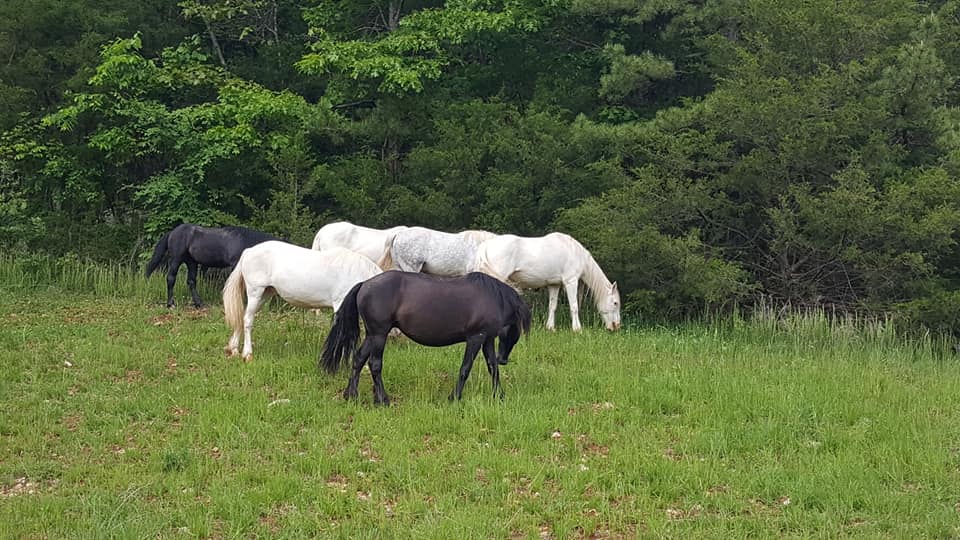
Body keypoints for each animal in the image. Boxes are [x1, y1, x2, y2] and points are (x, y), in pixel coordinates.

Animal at [145, 223, 282, 308]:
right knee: (171, 278)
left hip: (191, 262)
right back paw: (170, 304)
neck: (245, 241)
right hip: (176, 259)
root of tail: (172, 232)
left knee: (191, 281)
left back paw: (198, 303)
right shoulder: (235, 264)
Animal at [222, 242, 382, 362]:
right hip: (255, 292)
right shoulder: (340, 304)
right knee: (247, 320)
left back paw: (233, 349)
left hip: (264, 294)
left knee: (242, 317)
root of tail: (248, 252)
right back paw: (247, 354)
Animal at [320, 271, 532, 405]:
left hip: (372, 335)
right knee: (374, 364)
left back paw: (351, 395)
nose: (504, 359)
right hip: (379, 334)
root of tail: (364, 284)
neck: (492, 297)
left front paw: (499, 396)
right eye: (515, 330)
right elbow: (465, 369)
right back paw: (382, 400)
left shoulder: (487, 340)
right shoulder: (475, 338)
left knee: (358, 359)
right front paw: (454, 398)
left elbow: (492, 369)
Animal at [476, 232, 621, 332]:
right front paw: (577, 329)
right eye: (615, 303)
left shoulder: (554, 285)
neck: (574, 252)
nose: (616, 326)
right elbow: (574, 306)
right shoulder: (571, 281)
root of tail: (487, 245)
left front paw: (550, 328)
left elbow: (552, 306)